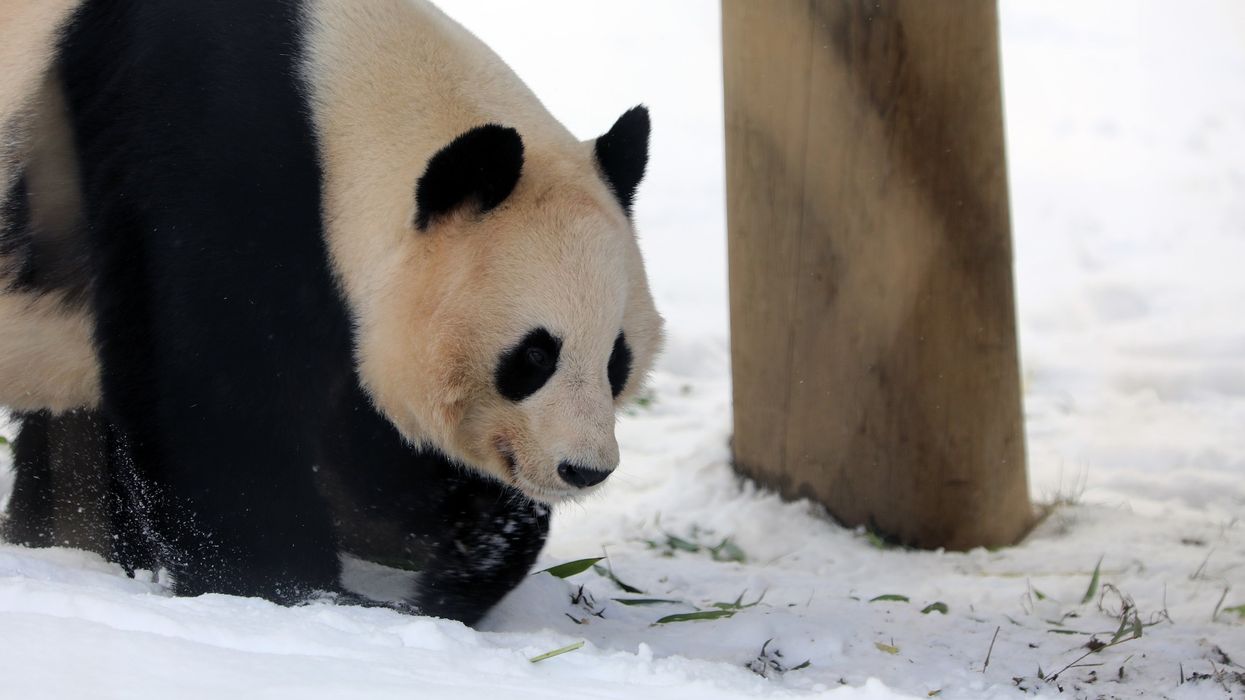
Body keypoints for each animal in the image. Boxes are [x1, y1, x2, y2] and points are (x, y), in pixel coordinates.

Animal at [0, 0, 663, 624]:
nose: (585, 470)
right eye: (534, 355)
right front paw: (291, 589)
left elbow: (375, 452)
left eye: (617, 361)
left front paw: (467, 560)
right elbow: (213, 403)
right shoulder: (206, 159)